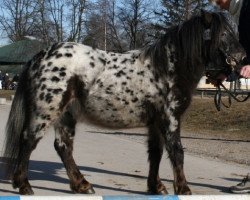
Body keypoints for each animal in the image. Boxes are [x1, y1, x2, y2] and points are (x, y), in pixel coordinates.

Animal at [2, 10, 246, 195]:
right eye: (223, 33)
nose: (242, 58)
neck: (166, 68)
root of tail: (39, 56)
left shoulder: (155, 123)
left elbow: (156, 153)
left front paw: (156, 187)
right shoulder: (170, 119)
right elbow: (177, 152)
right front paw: (184, 189)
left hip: (66, 115)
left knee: (63, 147)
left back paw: (82, 185)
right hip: (46, 111)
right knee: (29, 141)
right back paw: (24, 185)